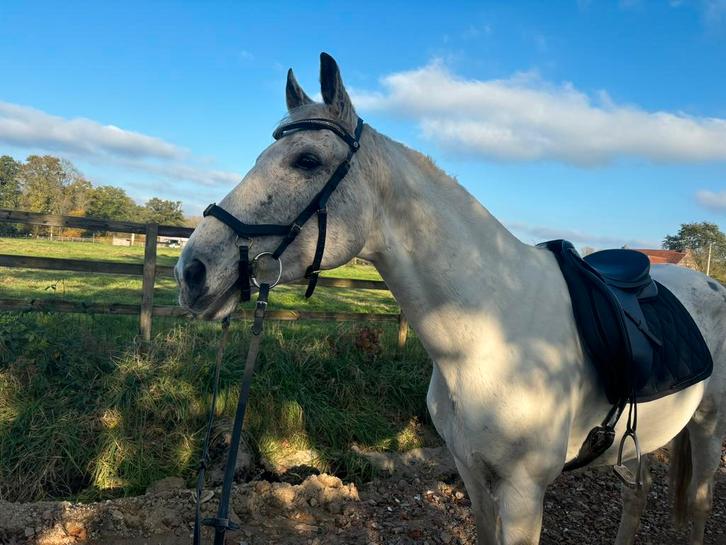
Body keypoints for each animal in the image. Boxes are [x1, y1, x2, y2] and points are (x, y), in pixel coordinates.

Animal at [175, 53, 726, 545]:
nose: (191, 271)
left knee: (699, 504)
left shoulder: (524, 493)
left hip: (707, 426)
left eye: (306, 160)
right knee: (638, 493)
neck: (489, 334)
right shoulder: (472, 474)